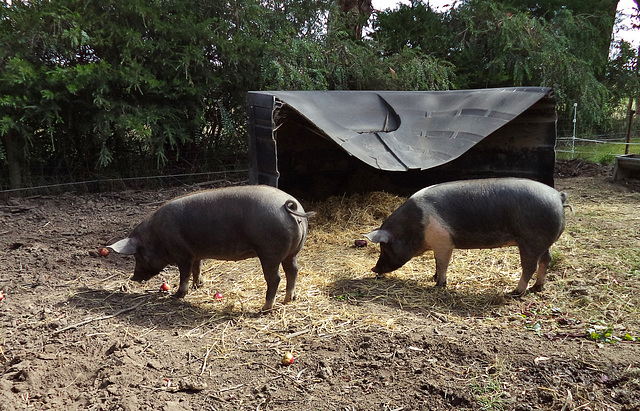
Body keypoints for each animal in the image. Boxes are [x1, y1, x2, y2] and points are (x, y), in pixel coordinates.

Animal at [109, 185, 314, 310]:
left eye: (139, 256)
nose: (134, 277)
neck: (157, 236)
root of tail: (289, 205)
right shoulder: (196, 253)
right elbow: (197, 268)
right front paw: (198, 285)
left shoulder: (182, 253)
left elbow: (184, 274)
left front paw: (177, 295)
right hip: (293, 252)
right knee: (293, 271)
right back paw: (290, 299)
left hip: (269, 251)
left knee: (275, 278)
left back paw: (264, 308)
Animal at [362, 179, 568, 294]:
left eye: (384, 247)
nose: (373, 269)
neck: (414, 227)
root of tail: (558, 196)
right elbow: (437, 263)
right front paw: (433, 277)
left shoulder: (444, 242)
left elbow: (442, 263)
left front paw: (438, 285)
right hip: (544, 242)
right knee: (546, 260)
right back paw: (537, 288)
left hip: (530, 240)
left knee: (530, 266)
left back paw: (513, 293)